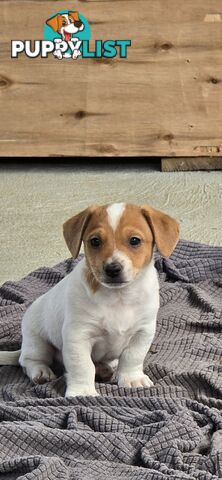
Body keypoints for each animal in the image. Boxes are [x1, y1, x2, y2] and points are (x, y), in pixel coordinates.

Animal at [0, 204, 179, 396]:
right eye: (95, 241)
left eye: (134, 241)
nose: (112, 269)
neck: (119, 296)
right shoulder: (78, 336)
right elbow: (83, 366)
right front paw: (83, 392)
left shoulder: (143, 332)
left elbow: (132, 357)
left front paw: (132, 378)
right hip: (37, 342)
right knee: (28, 360)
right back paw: (40, 371)